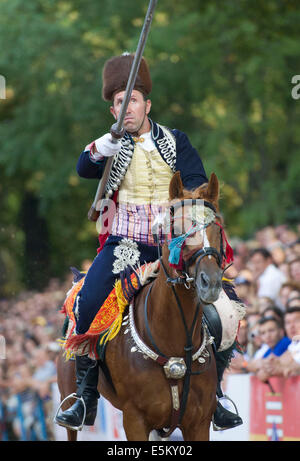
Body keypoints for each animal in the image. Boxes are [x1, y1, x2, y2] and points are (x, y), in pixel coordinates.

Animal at [56, 172, 225, 438]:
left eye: (217, 228)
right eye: (177, 229)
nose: (211, 282)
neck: (174, 342)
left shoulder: (198, 423)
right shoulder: (134, 420)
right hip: (67, 397)